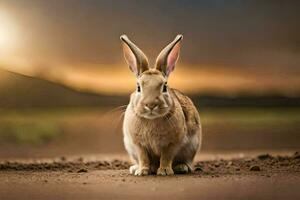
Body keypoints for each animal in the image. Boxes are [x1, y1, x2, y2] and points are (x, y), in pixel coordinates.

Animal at [119, 34, 202, 175]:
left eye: (164, 87)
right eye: (138, 87)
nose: (151, 104)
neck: (152, 119)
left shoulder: (172, 143)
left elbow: (166, 156)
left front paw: (164, 171)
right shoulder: (138, 145)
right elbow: (143, 157)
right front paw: (142, 171)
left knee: (187, 162)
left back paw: (181, 167)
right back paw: (136, 168)